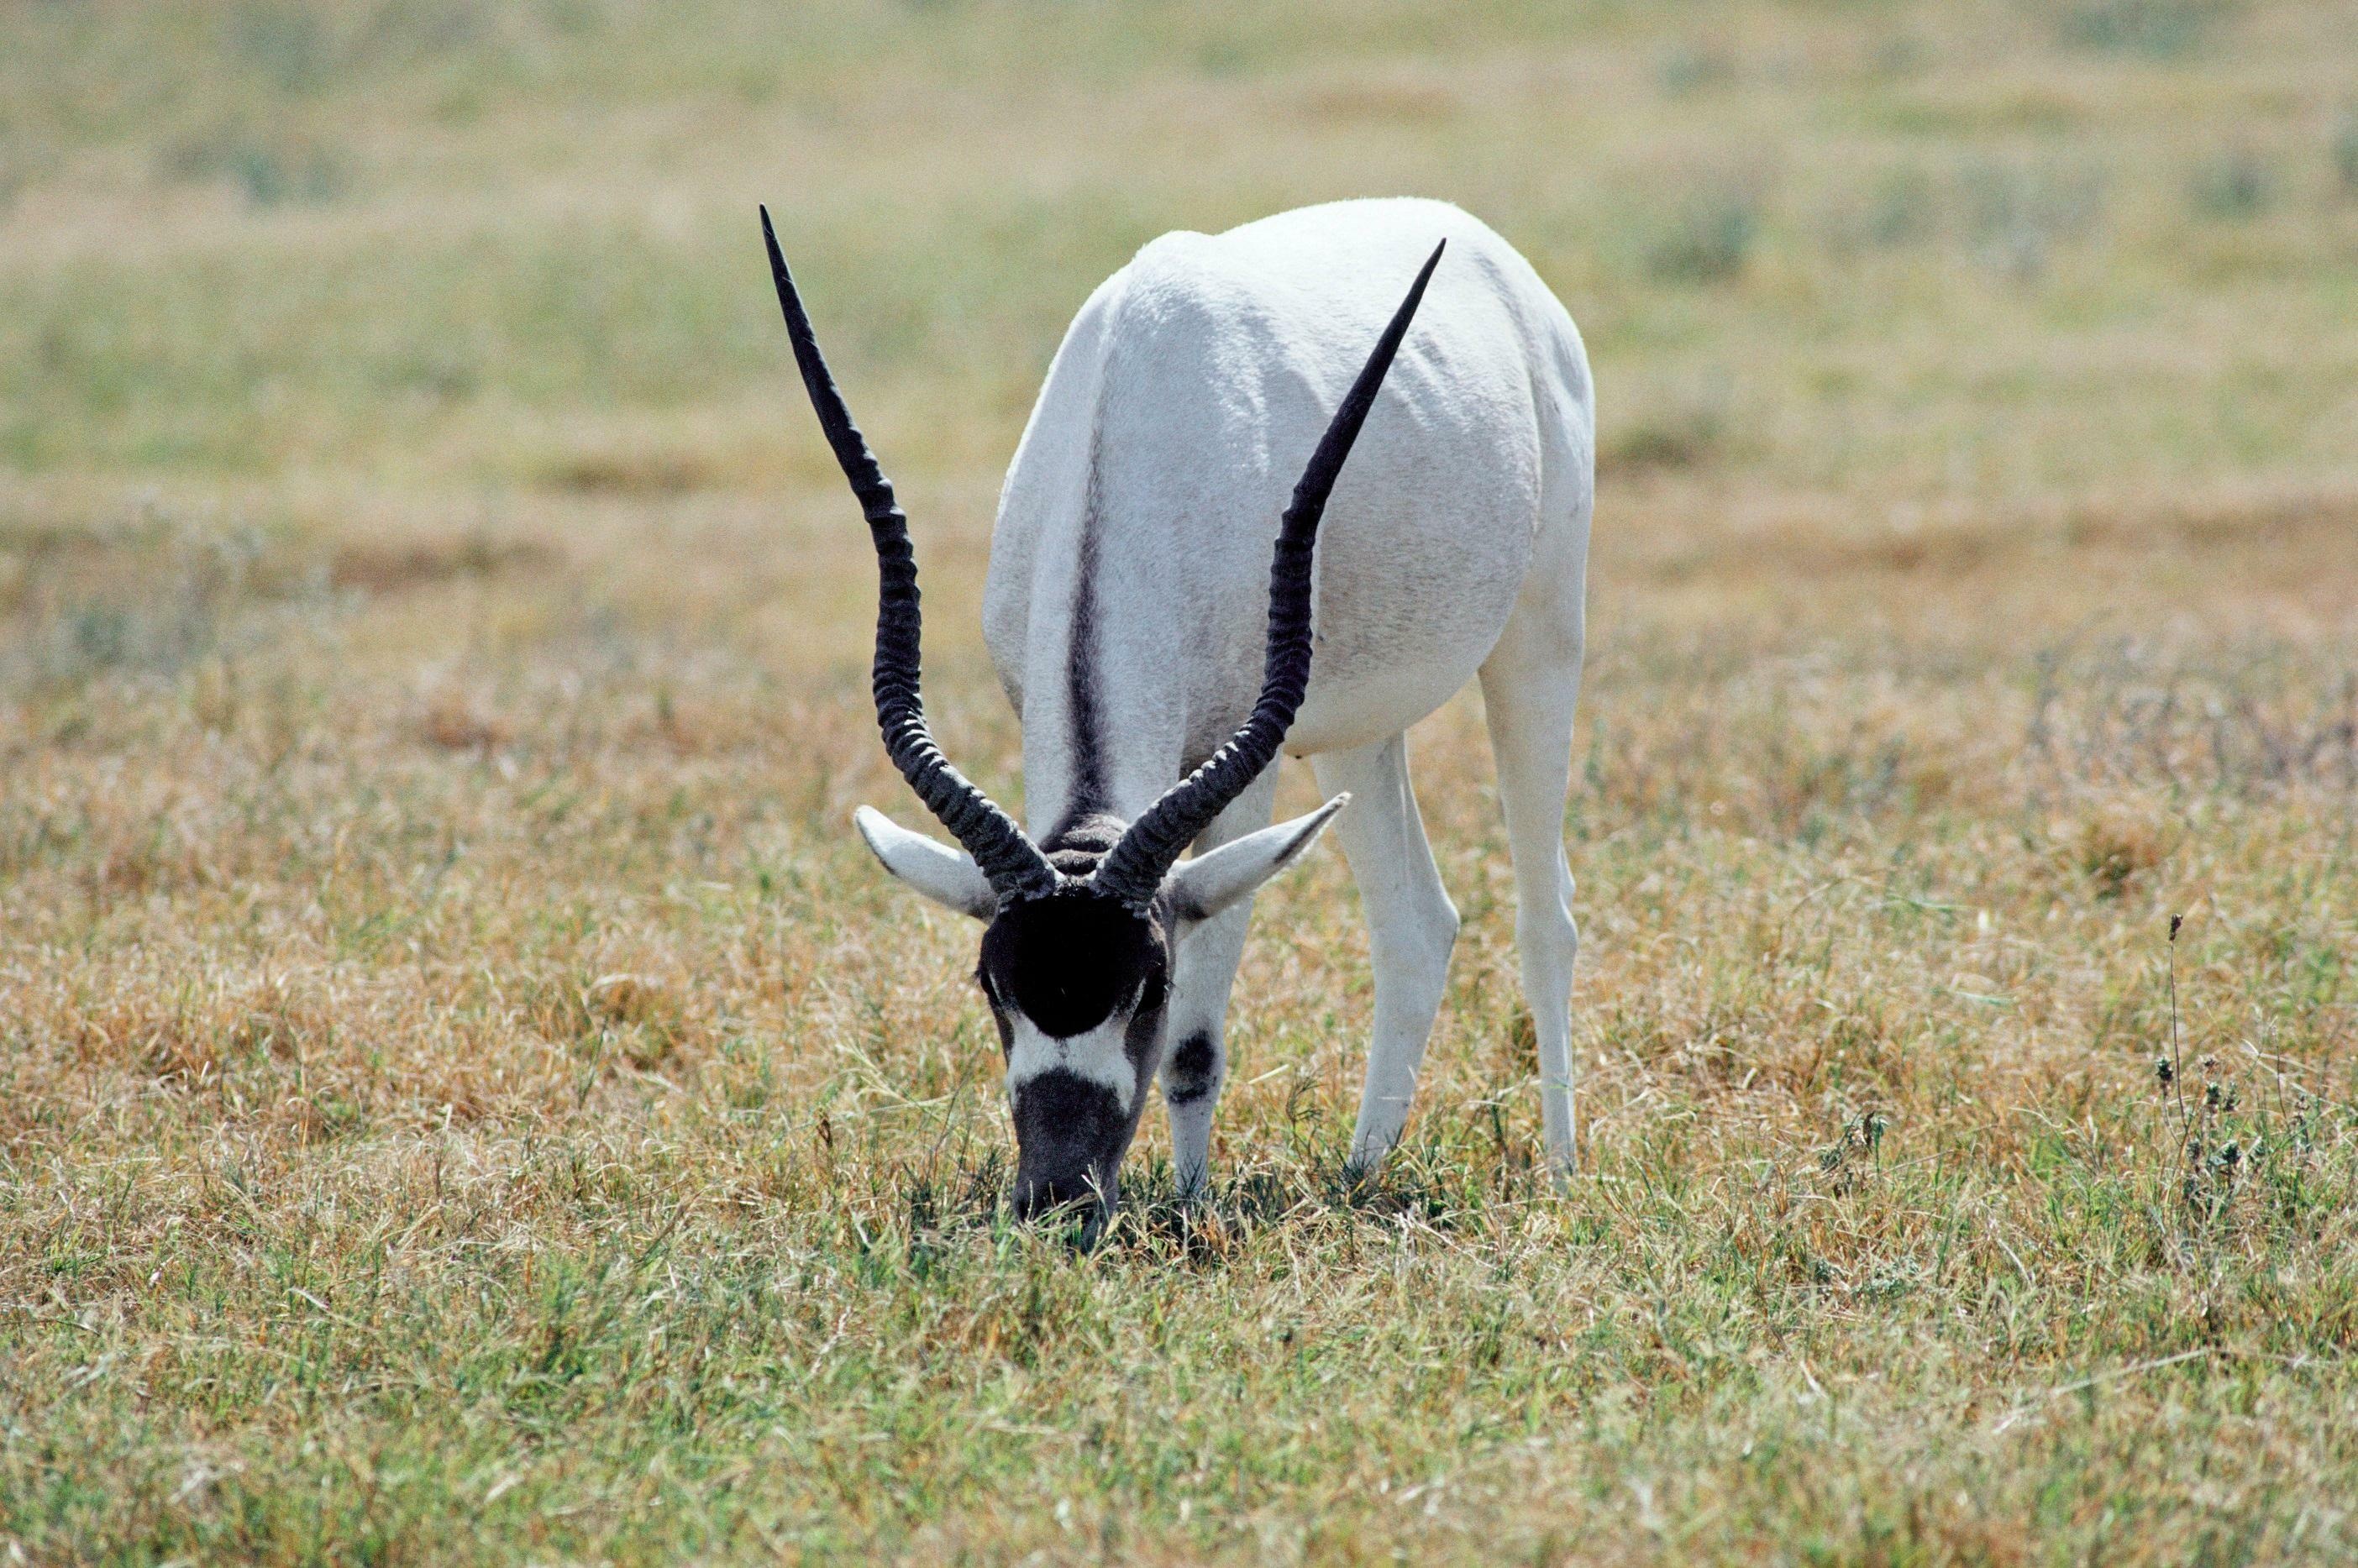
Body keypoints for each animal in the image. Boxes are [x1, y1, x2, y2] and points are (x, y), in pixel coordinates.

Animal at [764, 196, 1594, 1225]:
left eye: (1149, 983)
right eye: (993, 979)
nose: (1057, 1199)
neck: (1135, 407)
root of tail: (1485, 248)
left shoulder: (1243, 781)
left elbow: (1196, 1047)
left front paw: (1191, 1211)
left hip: (1538, 641)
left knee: (1544, 917)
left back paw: (1560, 1169)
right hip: (1354, 730)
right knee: (1416, 923)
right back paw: (1361, 1173)